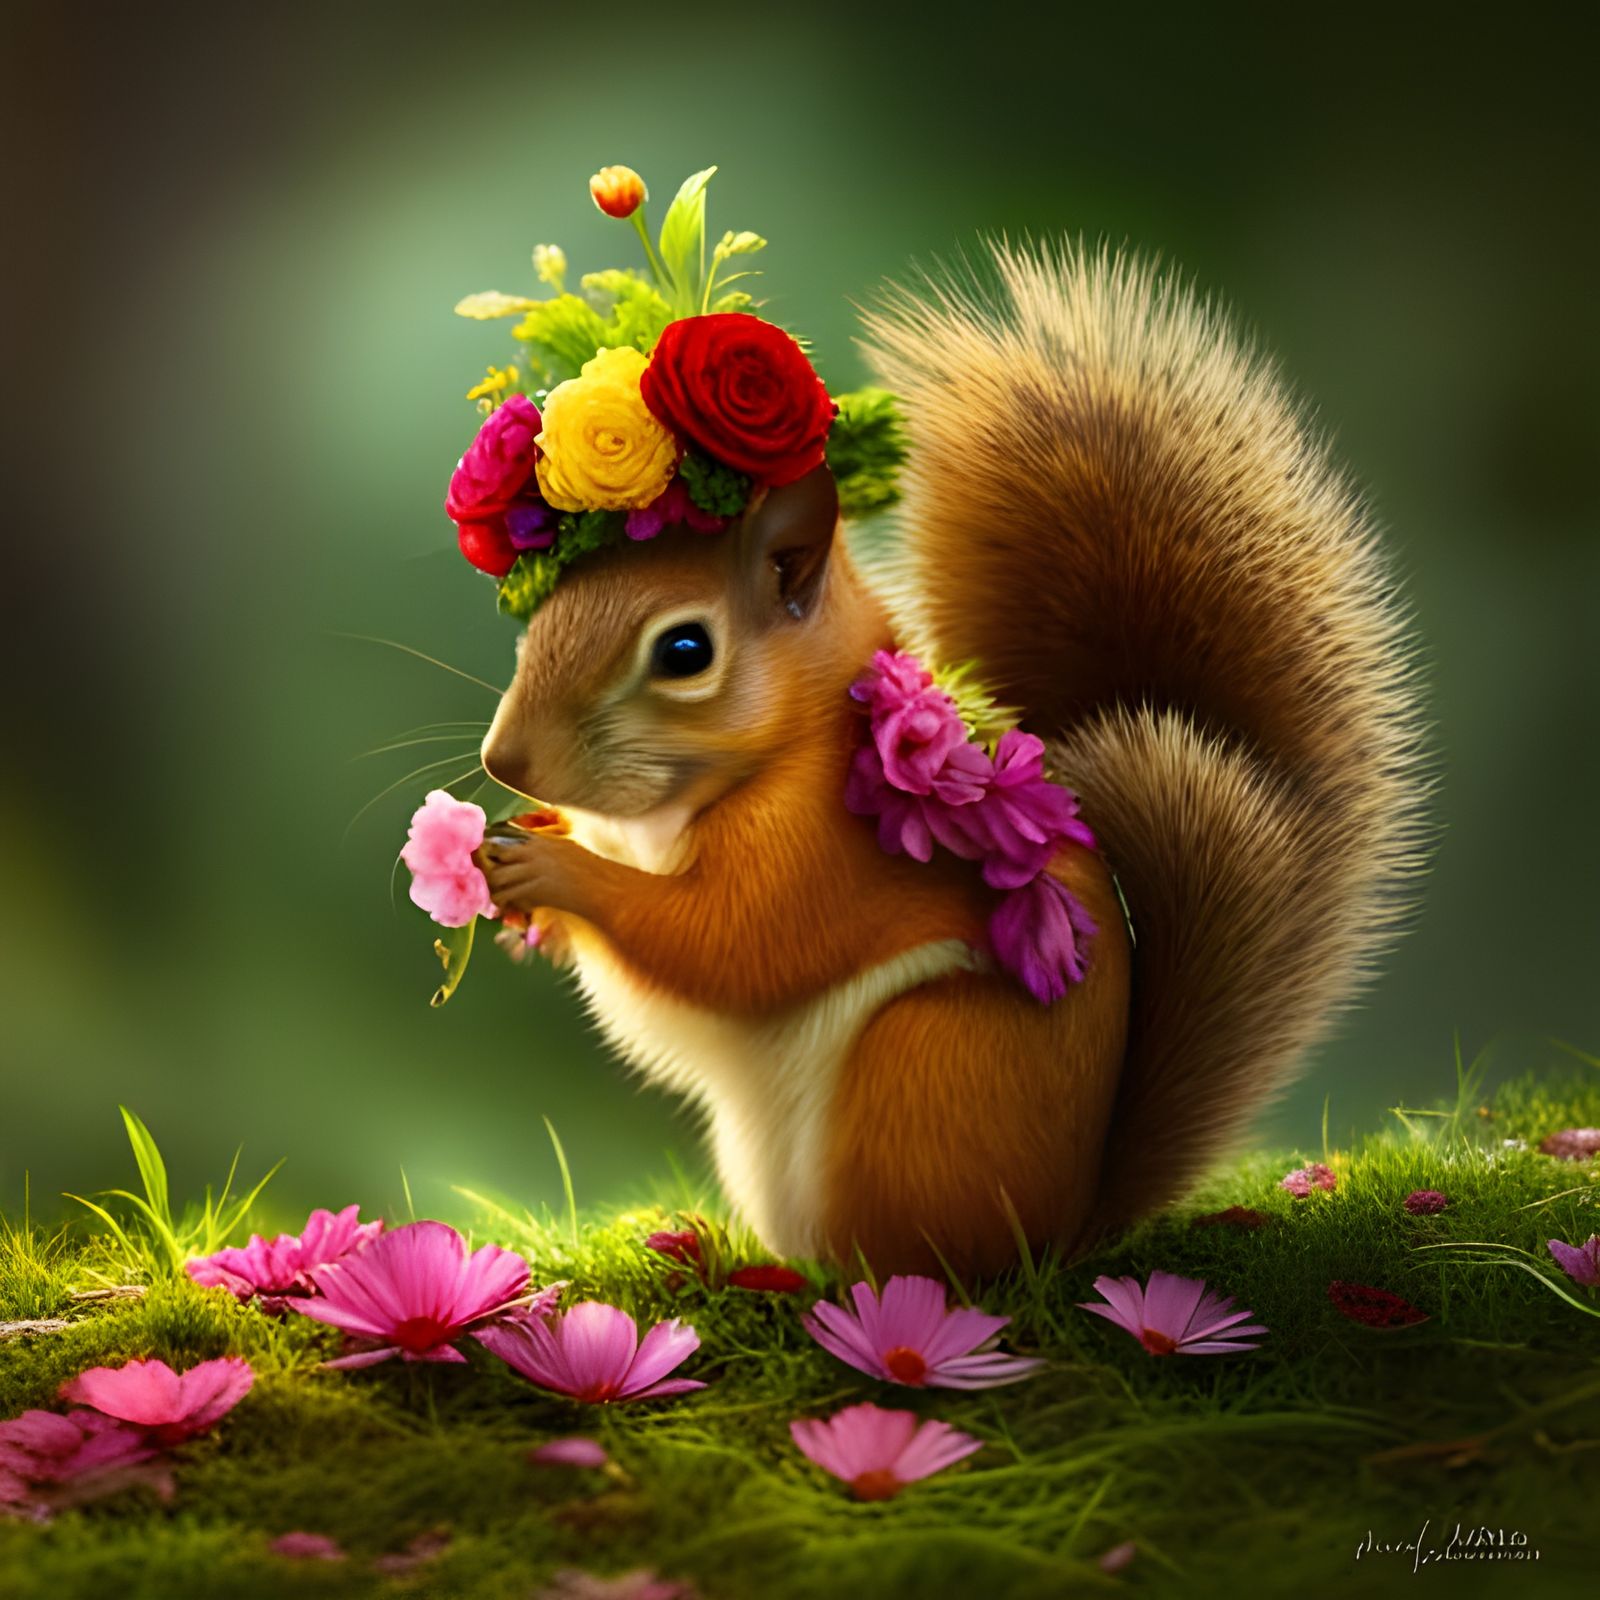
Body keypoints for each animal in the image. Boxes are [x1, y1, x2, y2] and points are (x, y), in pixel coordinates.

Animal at [474, 243, 1425, 1278]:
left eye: (686, 650)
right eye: (545, 609)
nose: (505, 762)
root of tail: (1068, 1226)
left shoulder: (822, 848)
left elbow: (727, 943)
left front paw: (553, 870)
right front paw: (523, 855)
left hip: (917, 1066)